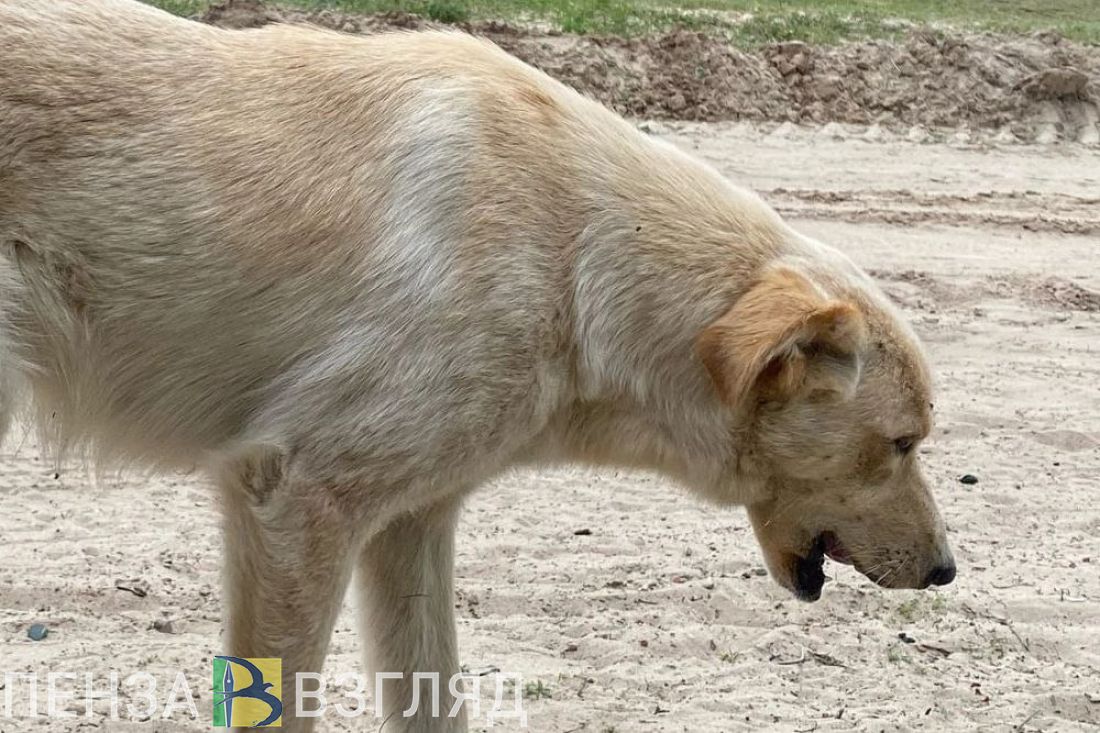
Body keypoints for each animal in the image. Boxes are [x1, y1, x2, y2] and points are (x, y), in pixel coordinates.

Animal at [2, 2, 954, 726]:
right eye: (903, 443)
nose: (948, 570)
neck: (577, 258)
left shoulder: (410, 526)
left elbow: (433, 700)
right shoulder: (297, 500)